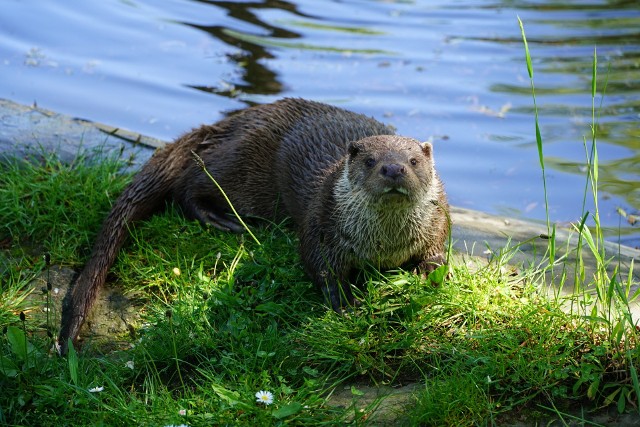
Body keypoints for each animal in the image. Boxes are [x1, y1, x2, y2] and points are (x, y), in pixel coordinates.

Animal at [60, 99, 450, 354]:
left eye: (412, 161)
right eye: (370, 161)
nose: (393, 168)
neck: (383, 245)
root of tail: (232, 123)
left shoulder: (438, 219)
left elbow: (438, 250)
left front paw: (426, 273)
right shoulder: (321, 221)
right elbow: (318, 262)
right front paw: (344, 300)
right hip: (238, 169)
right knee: (187, 185)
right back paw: (220, 219)